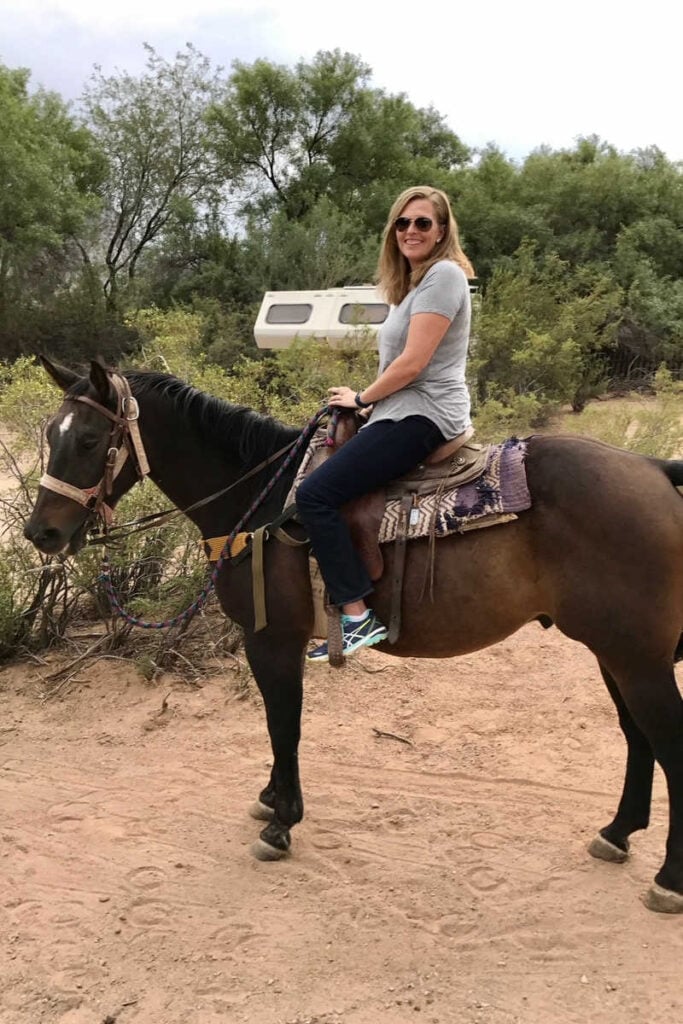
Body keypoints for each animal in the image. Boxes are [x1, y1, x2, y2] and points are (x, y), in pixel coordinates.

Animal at [24, 356, 683, 914]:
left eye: (89, 440)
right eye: (50, 436)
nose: (41, 534)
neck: (260, 499)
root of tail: (655, 469)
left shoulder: (273, 640)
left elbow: (283, 724)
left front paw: (282, 823)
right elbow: (278, 725)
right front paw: (271, 799)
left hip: (639, 660)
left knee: (666, 744)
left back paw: (668, 881)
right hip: (614, 651)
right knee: (637, 738)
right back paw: (617, 834)